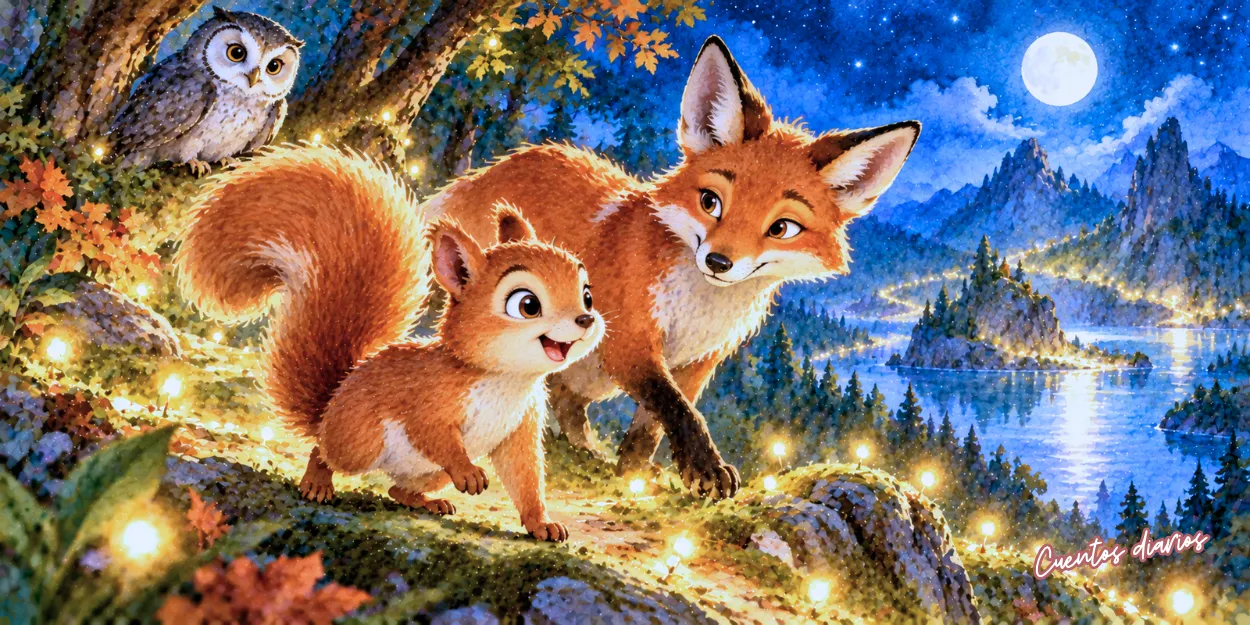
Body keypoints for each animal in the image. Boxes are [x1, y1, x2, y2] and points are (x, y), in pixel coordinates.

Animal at [176, 145, 604, 541]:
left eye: (587, 294)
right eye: (527, 304)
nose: (585, 320)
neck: (506, 378)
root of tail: (330, 408)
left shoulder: (523, 424)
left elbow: (525, 476)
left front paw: (542, 524)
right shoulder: (428, 397)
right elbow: (433, 433)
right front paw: (469, 472)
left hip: (425, 473)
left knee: (399, 489)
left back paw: (428, 502)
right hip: (359, 441)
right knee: (324, 451)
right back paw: (317, 482)